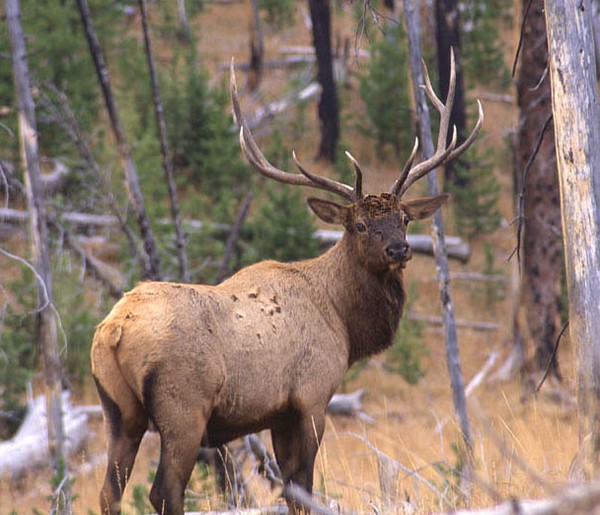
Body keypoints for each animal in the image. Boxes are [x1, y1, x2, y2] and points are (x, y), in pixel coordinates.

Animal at [92, 53, 482, 515]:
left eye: (404, 218)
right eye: (359, 224)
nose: (400, 249)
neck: (344, 322)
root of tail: (114, 330)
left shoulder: (278, 414)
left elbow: (291, 488)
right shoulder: (311, 397)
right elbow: (302, 487)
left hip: (119, 413)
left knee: (109, 492)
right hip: (183, 407)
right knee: (163, 491)